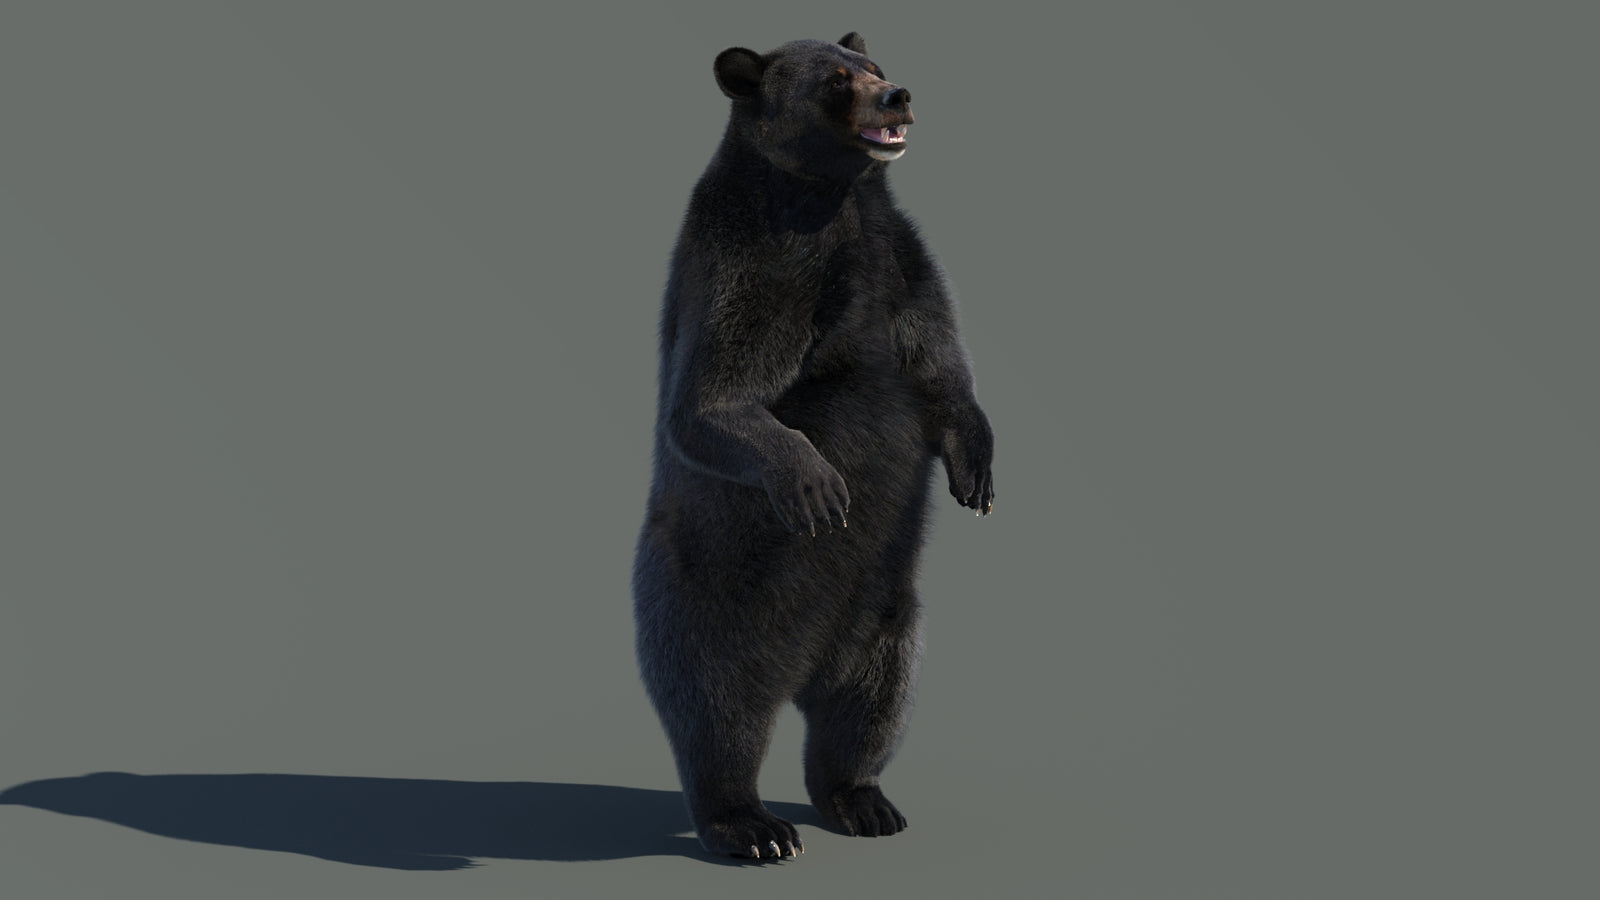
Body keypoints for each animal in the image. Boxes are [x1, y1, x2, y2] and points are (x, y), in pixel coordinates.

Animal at [632, 32, 995, 861]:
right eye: (835, 81)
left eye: (873, 64)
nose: (897, 94)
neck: (831, 202)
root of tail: (799, 668)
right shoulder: (754, 263)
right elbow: (712, 400)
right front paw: (818, 486)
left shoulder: (898, 259)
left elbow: (941, 363)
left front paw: (977, 472)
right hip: (706, 599)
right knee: (717, 709)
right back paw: (752, 826)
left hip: (886, 615)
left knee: (870, 702)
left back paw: (863, 800)